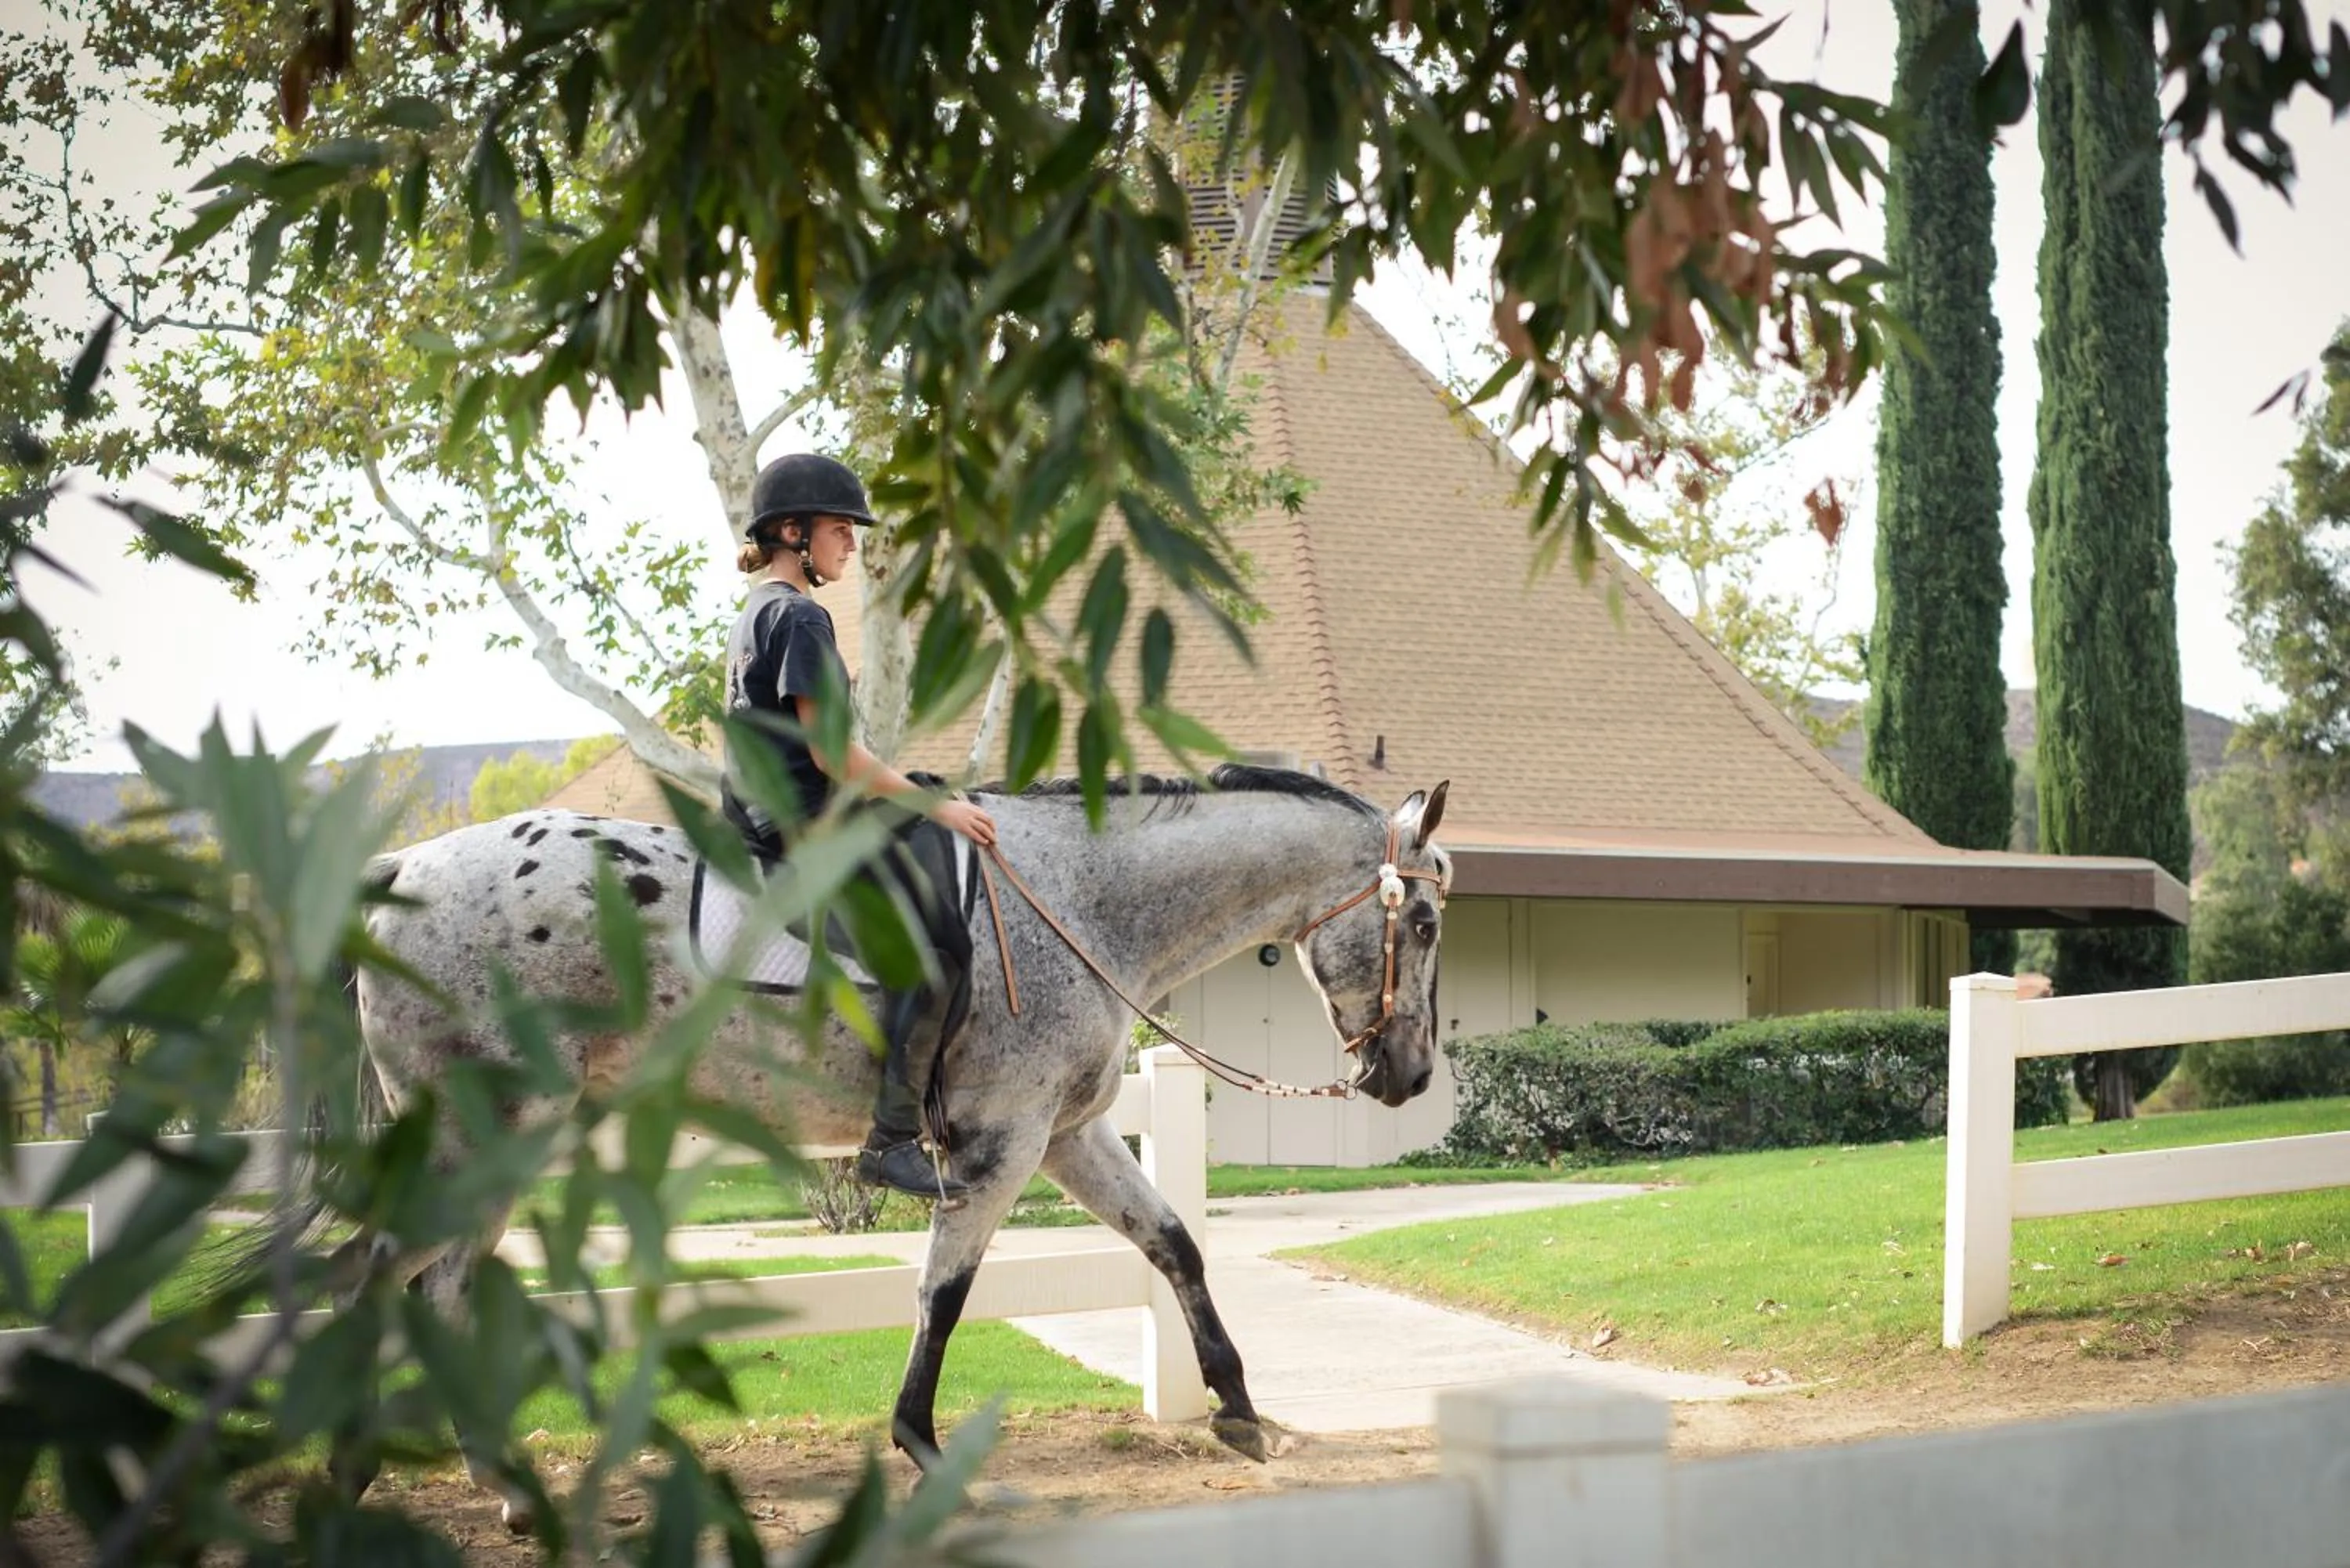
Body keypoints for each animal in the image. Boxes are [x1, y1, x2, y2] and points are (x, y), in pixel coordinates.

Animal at [326, 762, 1451, 1528]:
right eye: (1429, 921)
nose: (1411, 1074)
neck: (1081, 899)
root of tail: (403, 865)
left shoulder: (1068, 1135)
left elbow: (1174, 1243)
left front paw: (1239, 1410)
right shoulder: (1002, 1145)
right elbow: (943, 1295)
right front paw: (922, 1445)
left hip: (512, 1142)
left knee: (443, 1285)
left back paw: (509, 1488)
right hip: (476, 1135)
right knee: (378, 1271)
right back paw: (349, 1469)